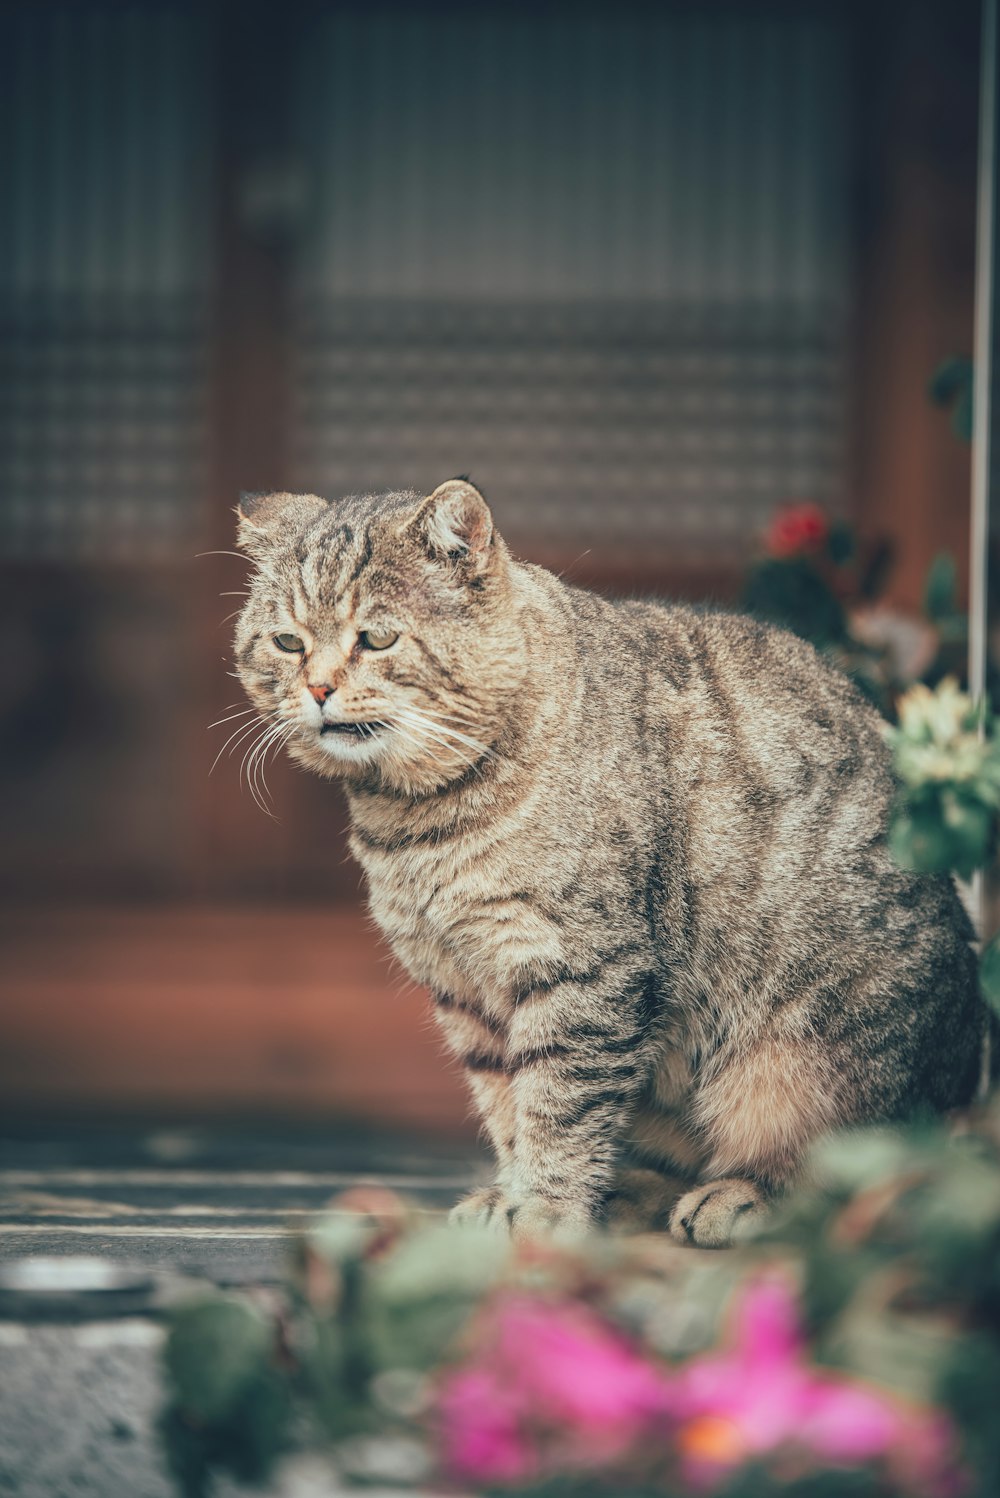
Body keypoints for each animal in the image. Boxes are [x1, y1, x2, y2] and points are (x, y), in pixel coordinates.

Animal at [232, 476, 982, 1240]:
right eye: (288, 642)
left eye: (377, 637)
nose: (317, 688)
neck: (418, 824)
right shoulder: (462, 988)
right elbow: (508, 1106)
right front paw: (512, 1194)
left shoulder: (583, 968)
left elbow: (560, 1106)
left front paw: (544, 1210)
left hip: (802, 1057)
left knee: (850, 1170)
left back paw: (741, 1195)